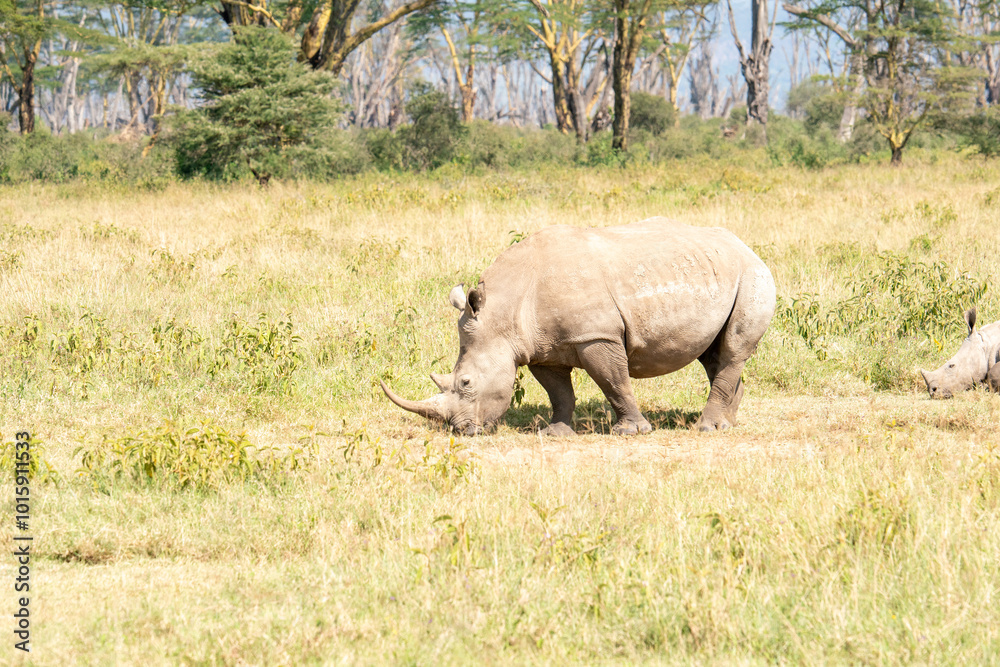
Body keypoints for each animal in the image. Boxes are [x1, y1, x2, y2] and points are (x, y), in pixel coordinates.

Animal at [380, 217, 777, 436]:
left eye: (465, 383)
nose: (461, 431)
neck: (503, 314)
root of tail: (746, 246)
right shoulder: (539, 347)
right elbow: (558, 391)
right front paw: (555, 432)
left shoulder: (596, 336)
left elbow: (614, 382)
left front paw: (630, 432)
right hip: (716, 272)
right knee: (714, 355)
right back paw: (728, 424)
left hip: (753, 276)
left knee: (732, 350)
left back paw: (707, 428)